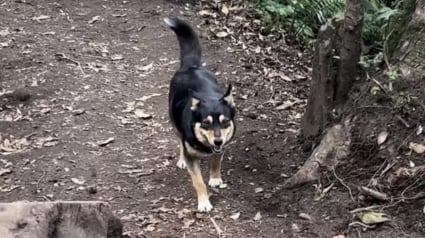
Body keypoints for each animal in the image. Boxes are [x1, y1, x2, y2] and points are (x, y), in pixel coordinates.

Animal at [163, 17, 235, 213]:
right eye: (205, 123)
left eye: (225, 122)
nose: (217, 141)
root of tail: (191, 66)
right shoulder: (192, 157)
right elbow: (198, 181)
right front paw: (204, 203)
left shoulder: (222, 146)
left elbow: (216, 161)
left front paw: (215, 178)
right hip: (174, 122)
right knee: (179, 141)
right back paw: (181, 159)